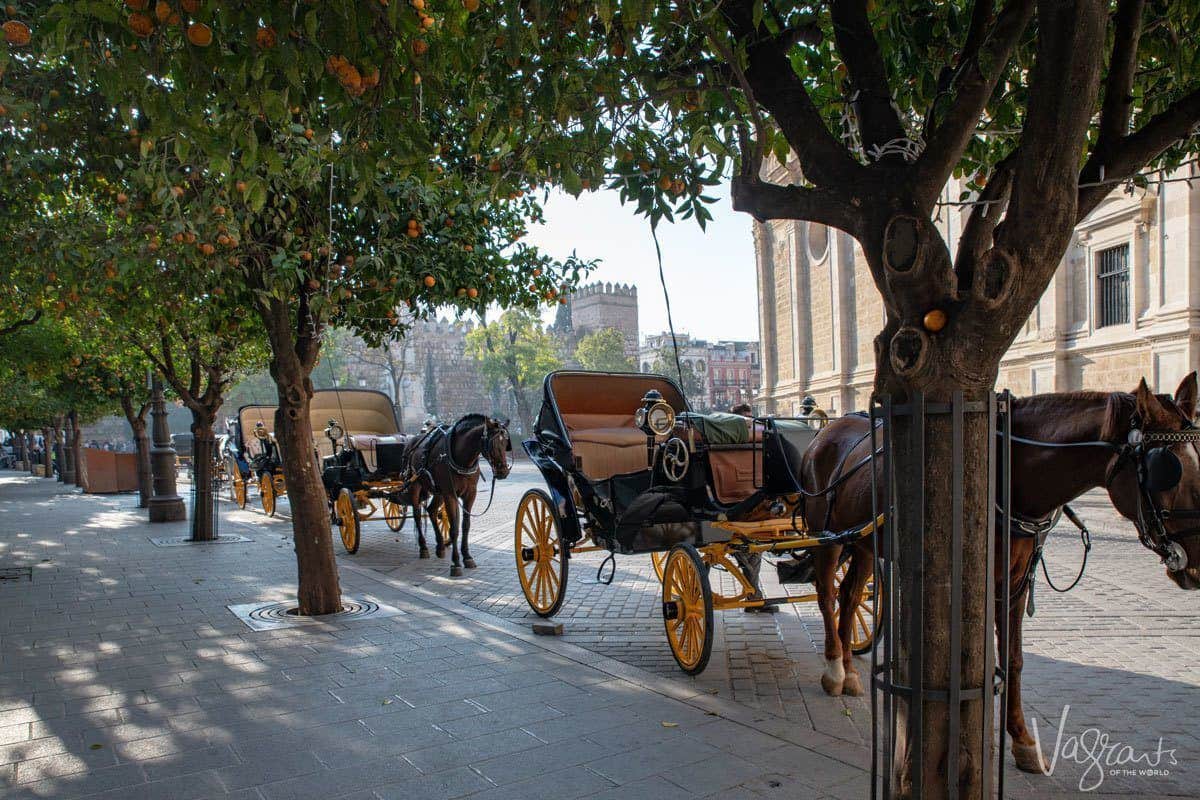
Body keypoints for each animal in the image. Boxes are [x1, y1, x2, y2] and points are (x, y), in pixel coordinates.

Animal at [408, 417, 511, 578]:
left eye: (506, 443)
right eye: (492, 444)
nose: (503, 472)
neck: (461, 458)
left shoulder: (470, 494)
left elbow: (465, 526)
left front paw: (467, 557)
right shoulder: (450, 494)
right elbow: (454, 528)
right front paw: (455, 563)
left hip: (439, 492)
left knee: (431, 511)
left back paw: (440, 546)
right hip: (415, 485)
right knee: (417, 515)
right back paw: (423, 547)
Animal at [801, 376, 1200, 777]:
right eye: (1166, 469)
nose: (1196, 565)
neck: (1006, 473)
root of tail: (825, 433)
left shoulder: (1015, 581)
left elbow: (1014, 659)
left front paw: (1024, 742)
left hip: (864, 542)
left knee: (850, 596)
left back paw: (850, 671)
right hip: (826, 536)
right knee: (827, 596)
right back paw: (834, 669)